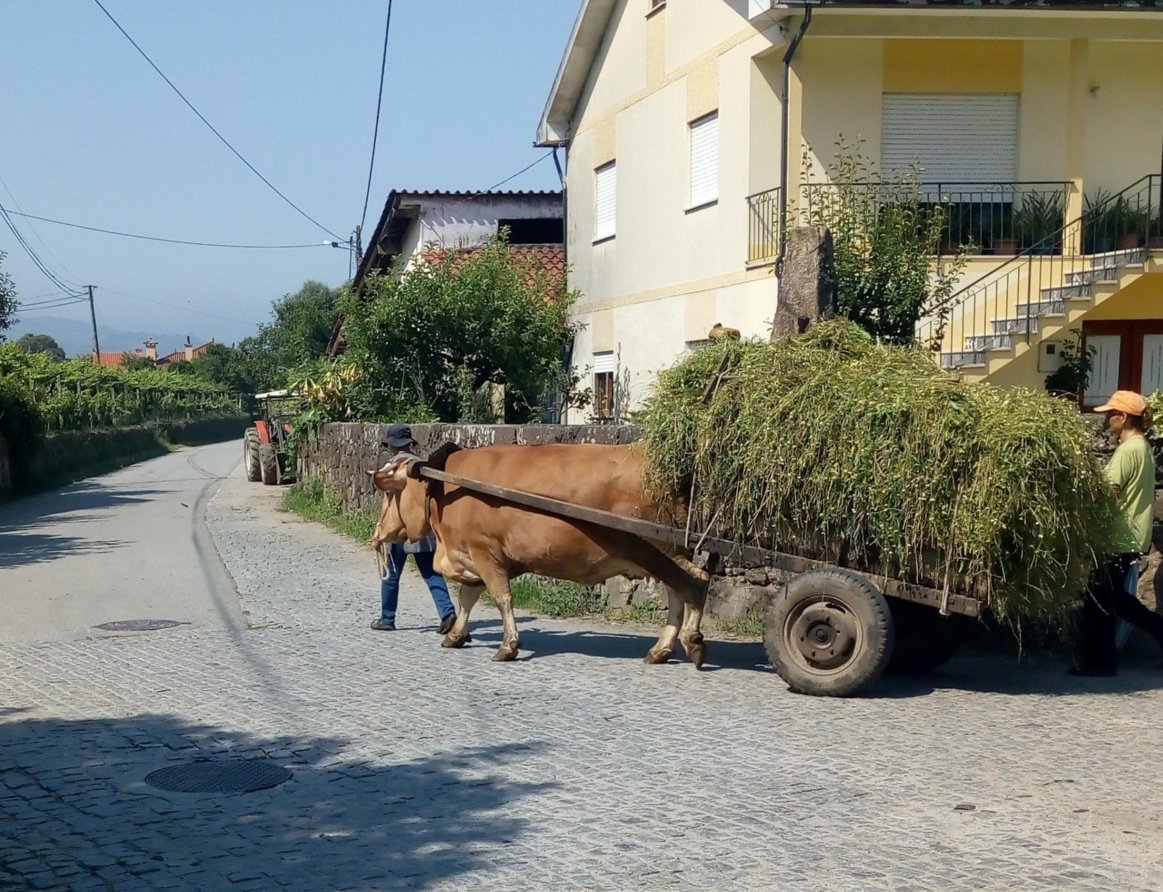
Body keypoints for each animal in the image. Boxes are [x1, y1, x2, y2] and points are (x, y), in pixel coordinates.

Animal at [367, 441, 711, 665]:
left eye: (389, 493)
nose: (377, 533)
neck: (443, 487)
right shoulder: (474, 555)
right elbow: (467, 598)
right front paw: (455, 635)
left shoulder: (485, 551)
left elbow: (501, 598)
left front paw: (508, 646)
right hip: (662, 553)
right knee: (679, 590)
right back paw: (661, 650)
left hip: (658, 547)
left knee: (695, 581)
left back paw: (692, 641)